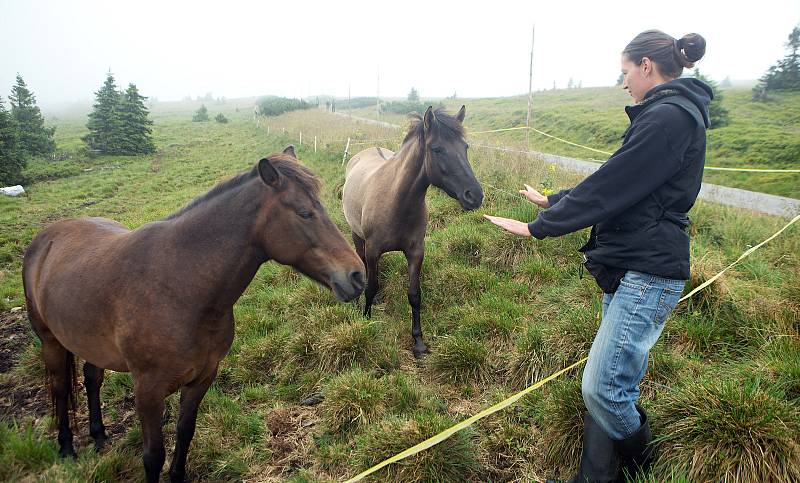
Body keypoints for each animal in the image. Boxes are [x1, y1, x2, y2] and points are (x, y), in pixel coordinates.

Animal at [21, 146, 366, 482]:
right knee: (61, 388)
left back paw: (100, 435)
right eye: (304, 213)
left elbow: (185, 432)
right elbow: (153, 456)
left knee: (93, 379)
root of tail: (45, 238)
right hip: (50, 342)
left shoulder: (203, 376)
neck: (181, 286)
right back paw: (66, 448)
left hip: (90, 341)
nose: (357, 275)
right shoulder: (147, 391)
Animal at [342, 106, 482, 358]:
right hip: (357, 237)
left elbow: (414, 295)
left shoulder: (416, 252)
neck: (396, 200)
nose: (474, 196)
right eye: (437, 149)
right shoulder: (373, 250)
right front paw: (367, 319)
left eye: (465, 147)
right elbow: (371, 287)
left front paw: (418, 342)